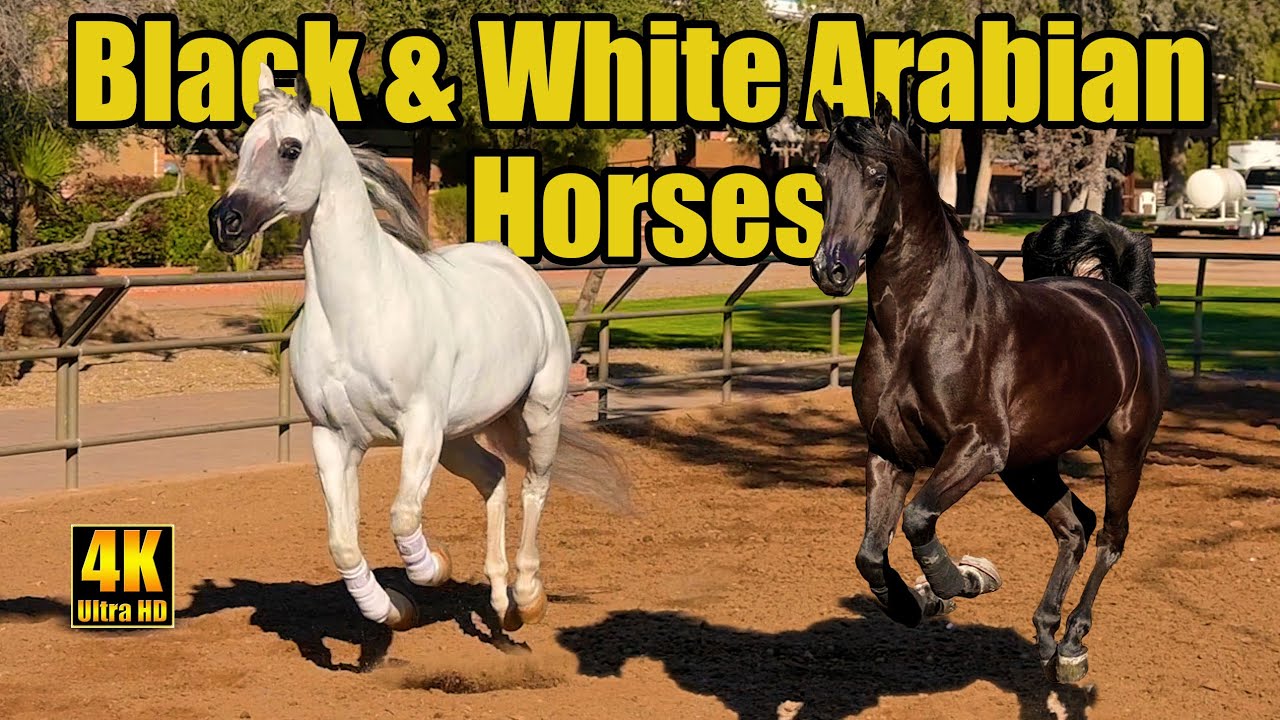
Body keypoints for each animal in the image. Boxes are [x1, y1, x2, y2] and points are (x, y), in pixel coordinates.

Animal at [208, 64, 628, 634]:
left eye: (289, 149)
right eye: (242, 147)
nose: (224, 221)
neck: (358, 315)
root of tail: (518, 272)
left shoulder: (419, 429)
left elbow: (403, 518)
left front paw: (435, 568)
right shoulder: (333, 437)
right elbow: (343, 543)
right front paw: (393, 609)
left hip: (539, 413)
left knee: (534, 488)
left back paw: (527, 597)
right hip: (460, 436)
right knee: (495, 479)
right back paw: (500, 604)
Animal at [807, 92, 1169, 684]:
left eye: (877, 175)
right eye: (821, 174)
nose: (830, 269)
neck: (918, 324)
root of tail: (1118, 302)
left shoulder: (977, 446)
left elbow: (917, 519)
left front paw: (958, 582)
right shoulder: (889, 452)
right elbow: (870, 554)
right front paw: (916, 603)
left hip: (1122, 451)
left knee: (1111, 538)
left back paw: (1072, 642)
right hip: (1031, 465)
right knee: (1075, 526)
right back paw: (1045, 630)